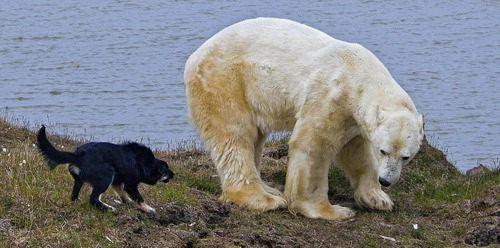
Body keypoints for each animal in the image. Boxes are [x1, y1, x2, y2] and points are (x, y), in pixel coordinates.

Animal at [36, 126, 174, 213]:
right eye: (166, 170)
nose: (173, 174)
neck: (144, 162)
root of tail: (78, 155)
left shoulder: (117, 182)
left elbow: (122, 194)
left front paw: (128, 202)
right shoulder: (131, 185)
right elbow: (139, 198)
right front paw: (148, 209)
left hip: (80, 181)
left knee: (74, 196)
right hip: (106, 176)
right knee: (93, 199)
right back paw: (108, 209)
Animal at [184, 17, 422, 220]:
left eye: (406, 156)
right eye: (383, 151)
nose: (386, 181)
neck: (360, 74)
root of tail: (195, 56)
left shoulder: (353, 117)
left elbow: (356, 151)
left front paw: (378, 199)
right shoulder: (331, 95)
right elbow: (313, 144)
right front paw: (331, 210)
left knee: (254, 139)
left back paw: (269, 189)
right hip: (226, 81)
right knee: (235, 136)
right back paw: (264, 199)